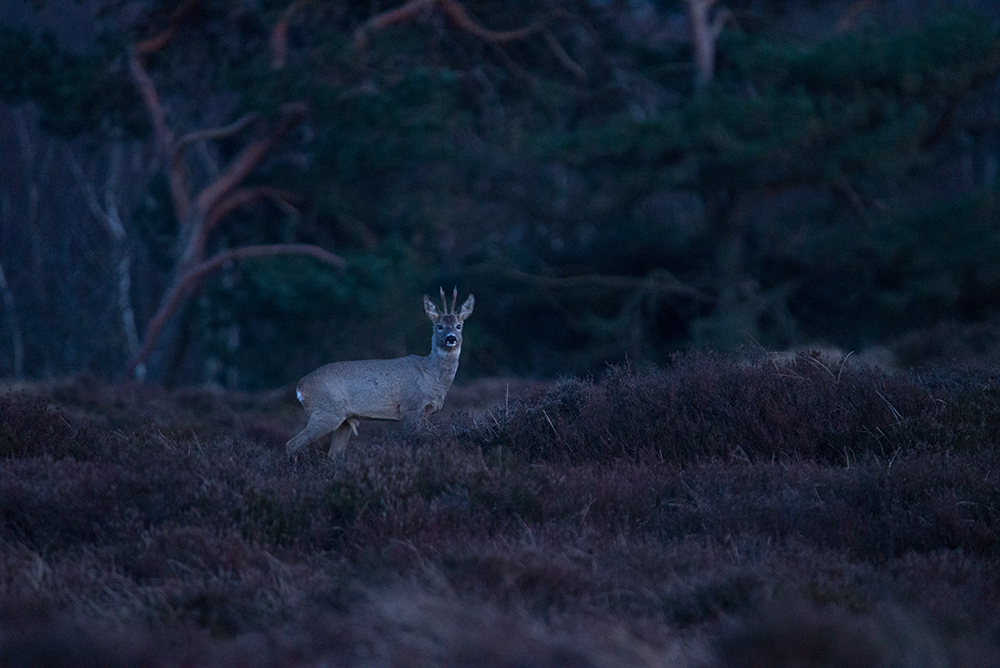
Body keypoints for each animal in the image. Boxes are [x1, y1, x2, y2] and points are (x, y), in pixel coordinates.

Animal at [286, 288, 476, 460]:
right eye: (439, 326)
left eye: (459, 326)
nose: (451, 338)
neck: (430, 375)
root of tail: (300, 387)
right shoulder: (410, 407)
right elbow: (412, 441)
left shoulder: (425, 412)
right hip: (325, 412)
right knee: (292, 444)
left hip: (344, 419)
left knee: (334, 454)